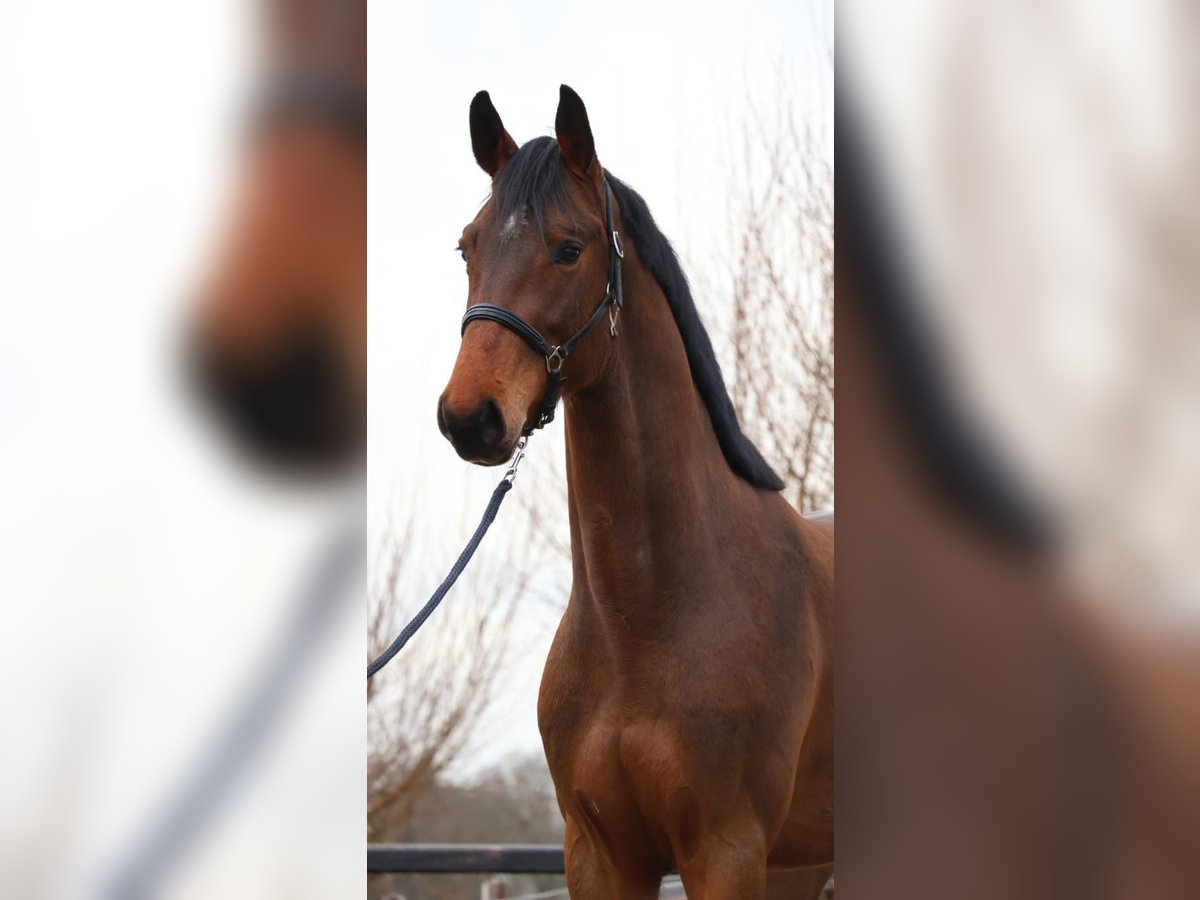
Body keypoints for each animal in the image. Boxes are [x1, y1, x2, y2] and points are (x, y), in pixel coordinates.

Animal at [441, 86, 835, 900]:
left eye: (570, 247)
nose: (470, 416)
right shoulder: (600, 855)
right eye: (468, 246)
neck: (643, 621)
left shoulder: (725, 853)